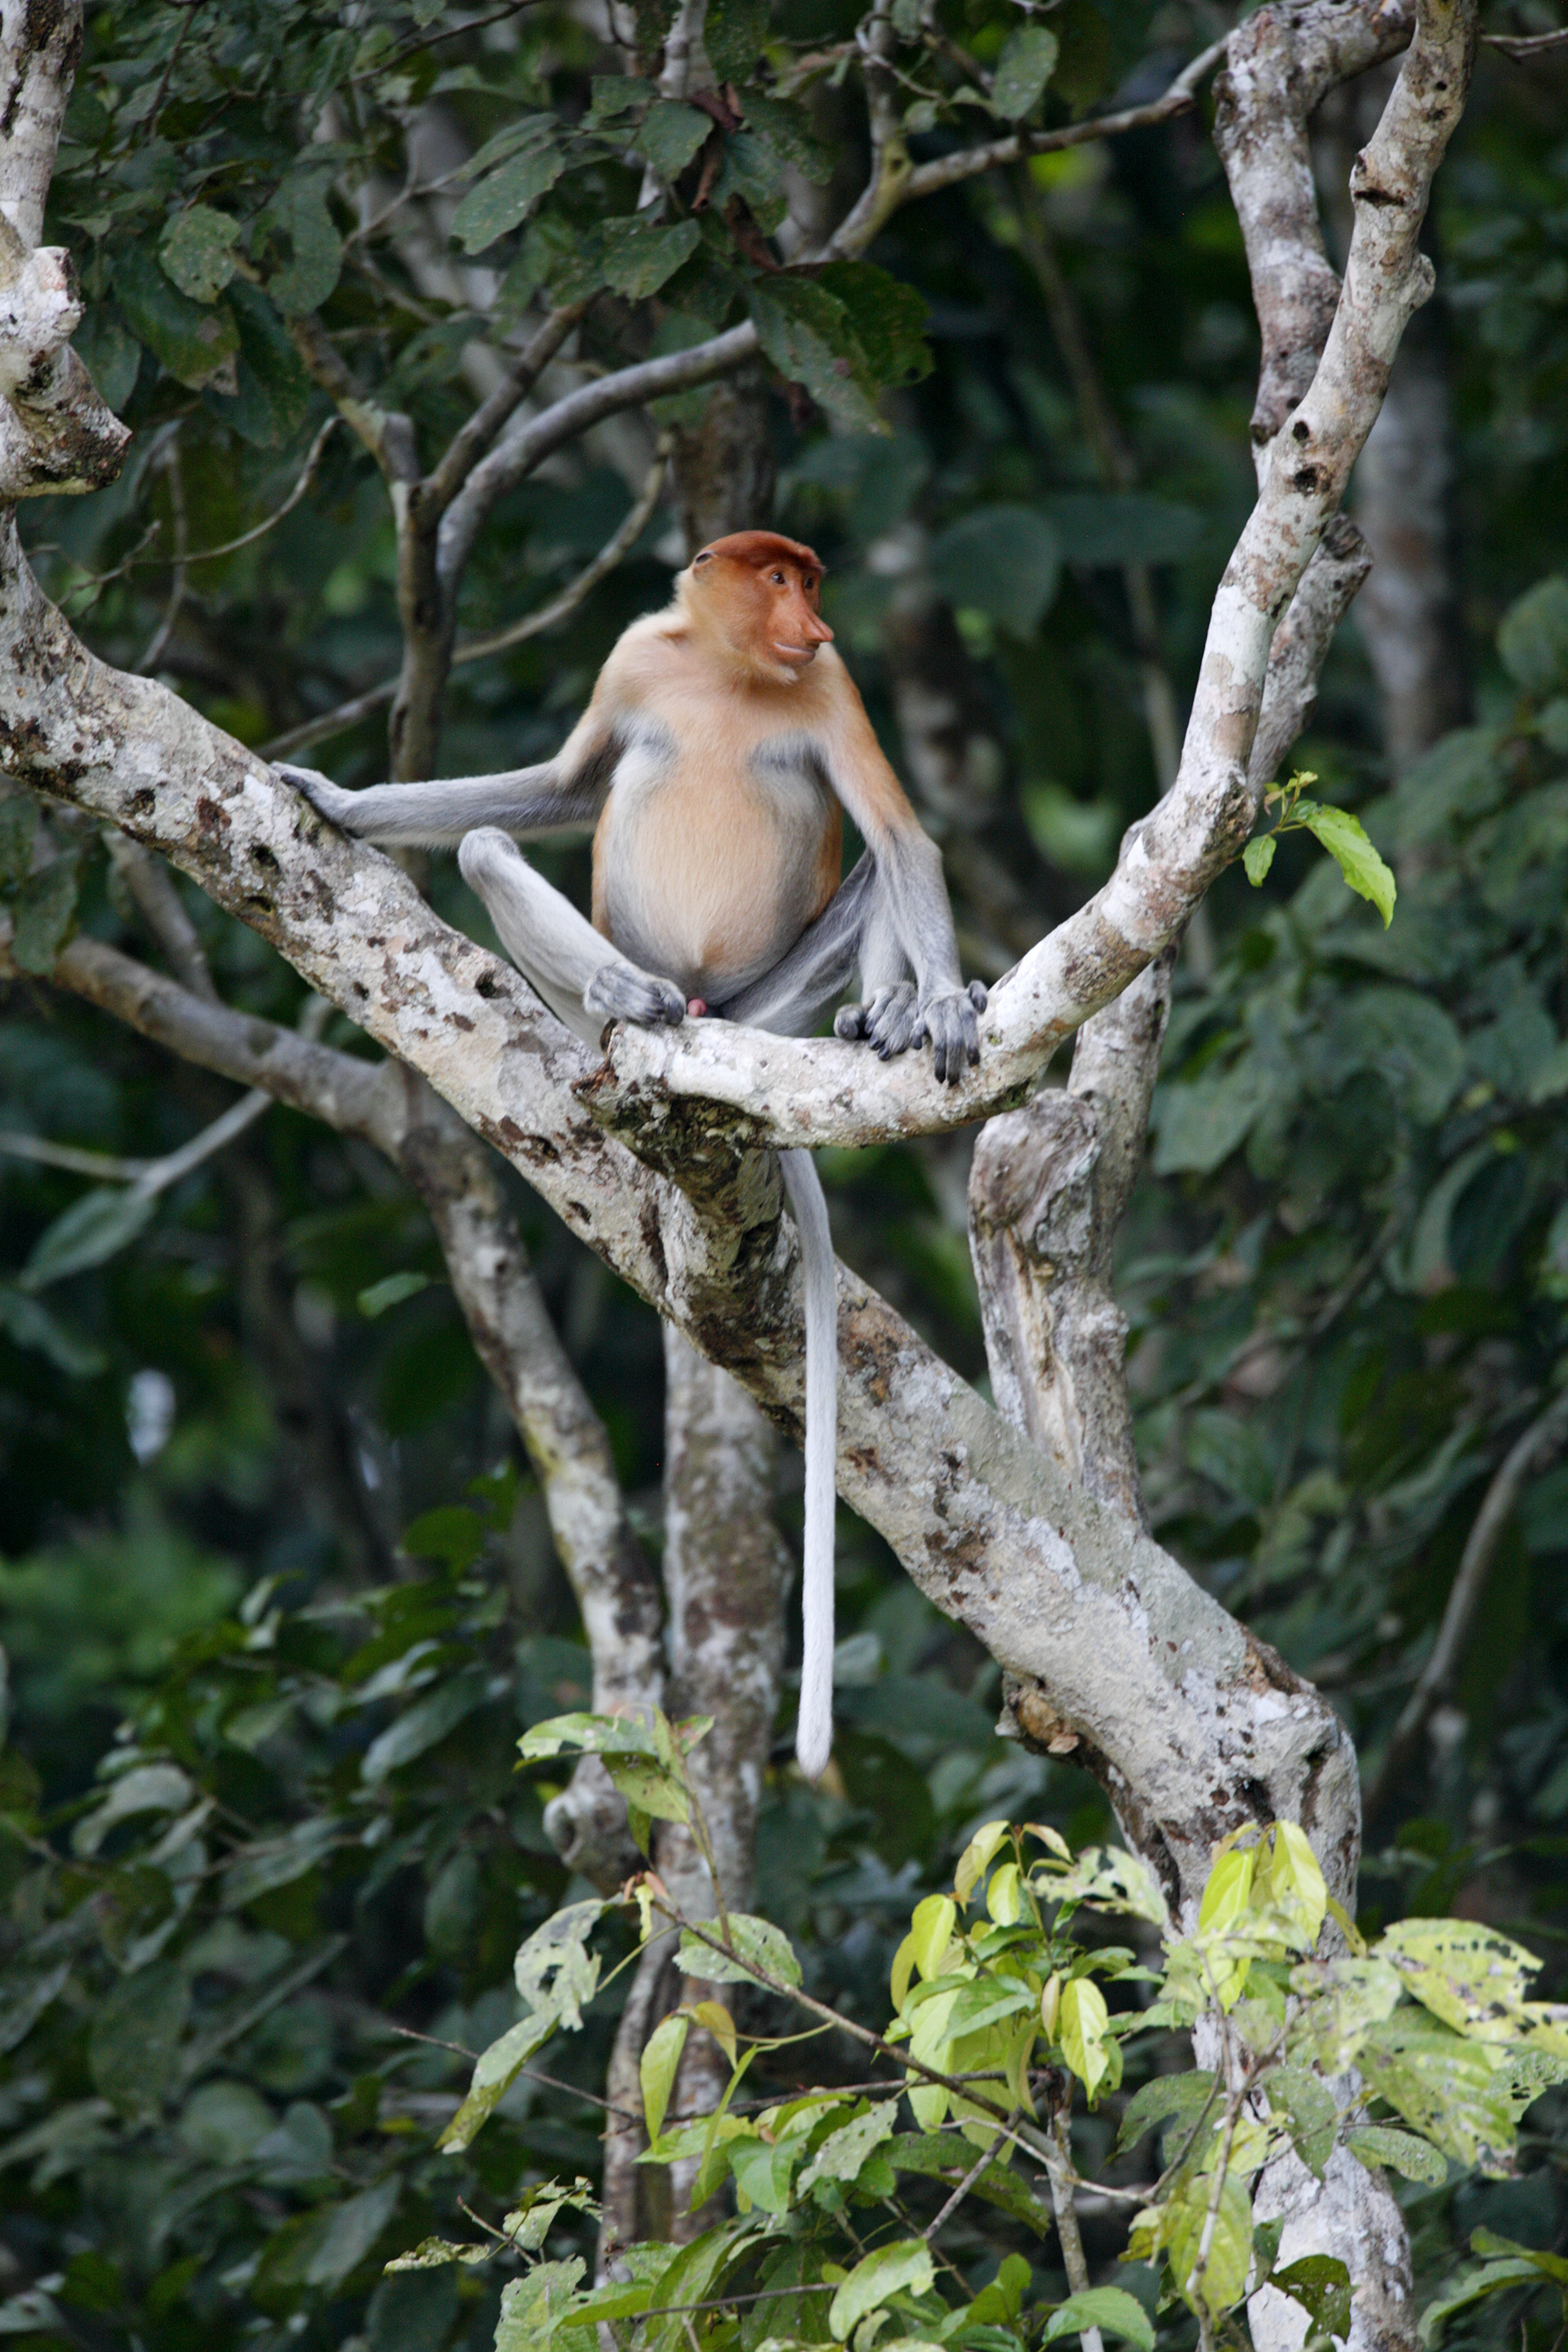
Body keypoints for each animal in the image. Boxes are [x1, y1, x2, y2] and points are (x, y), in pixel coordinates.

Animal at [279, 530, 986, 1782]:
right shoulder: (633, 662)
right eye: (779, 578)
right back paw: (626, 1000)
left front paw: (942, 1006)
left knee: (869, 871)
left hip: (769, 1004)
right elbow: (565, 786)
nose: (815, 617)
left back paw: (885, 1019)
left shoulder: (834, 689)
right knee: (490, 845)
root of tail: (714, 1008)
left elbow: (902, 837)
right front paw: (340, 799)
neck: (732, 671)